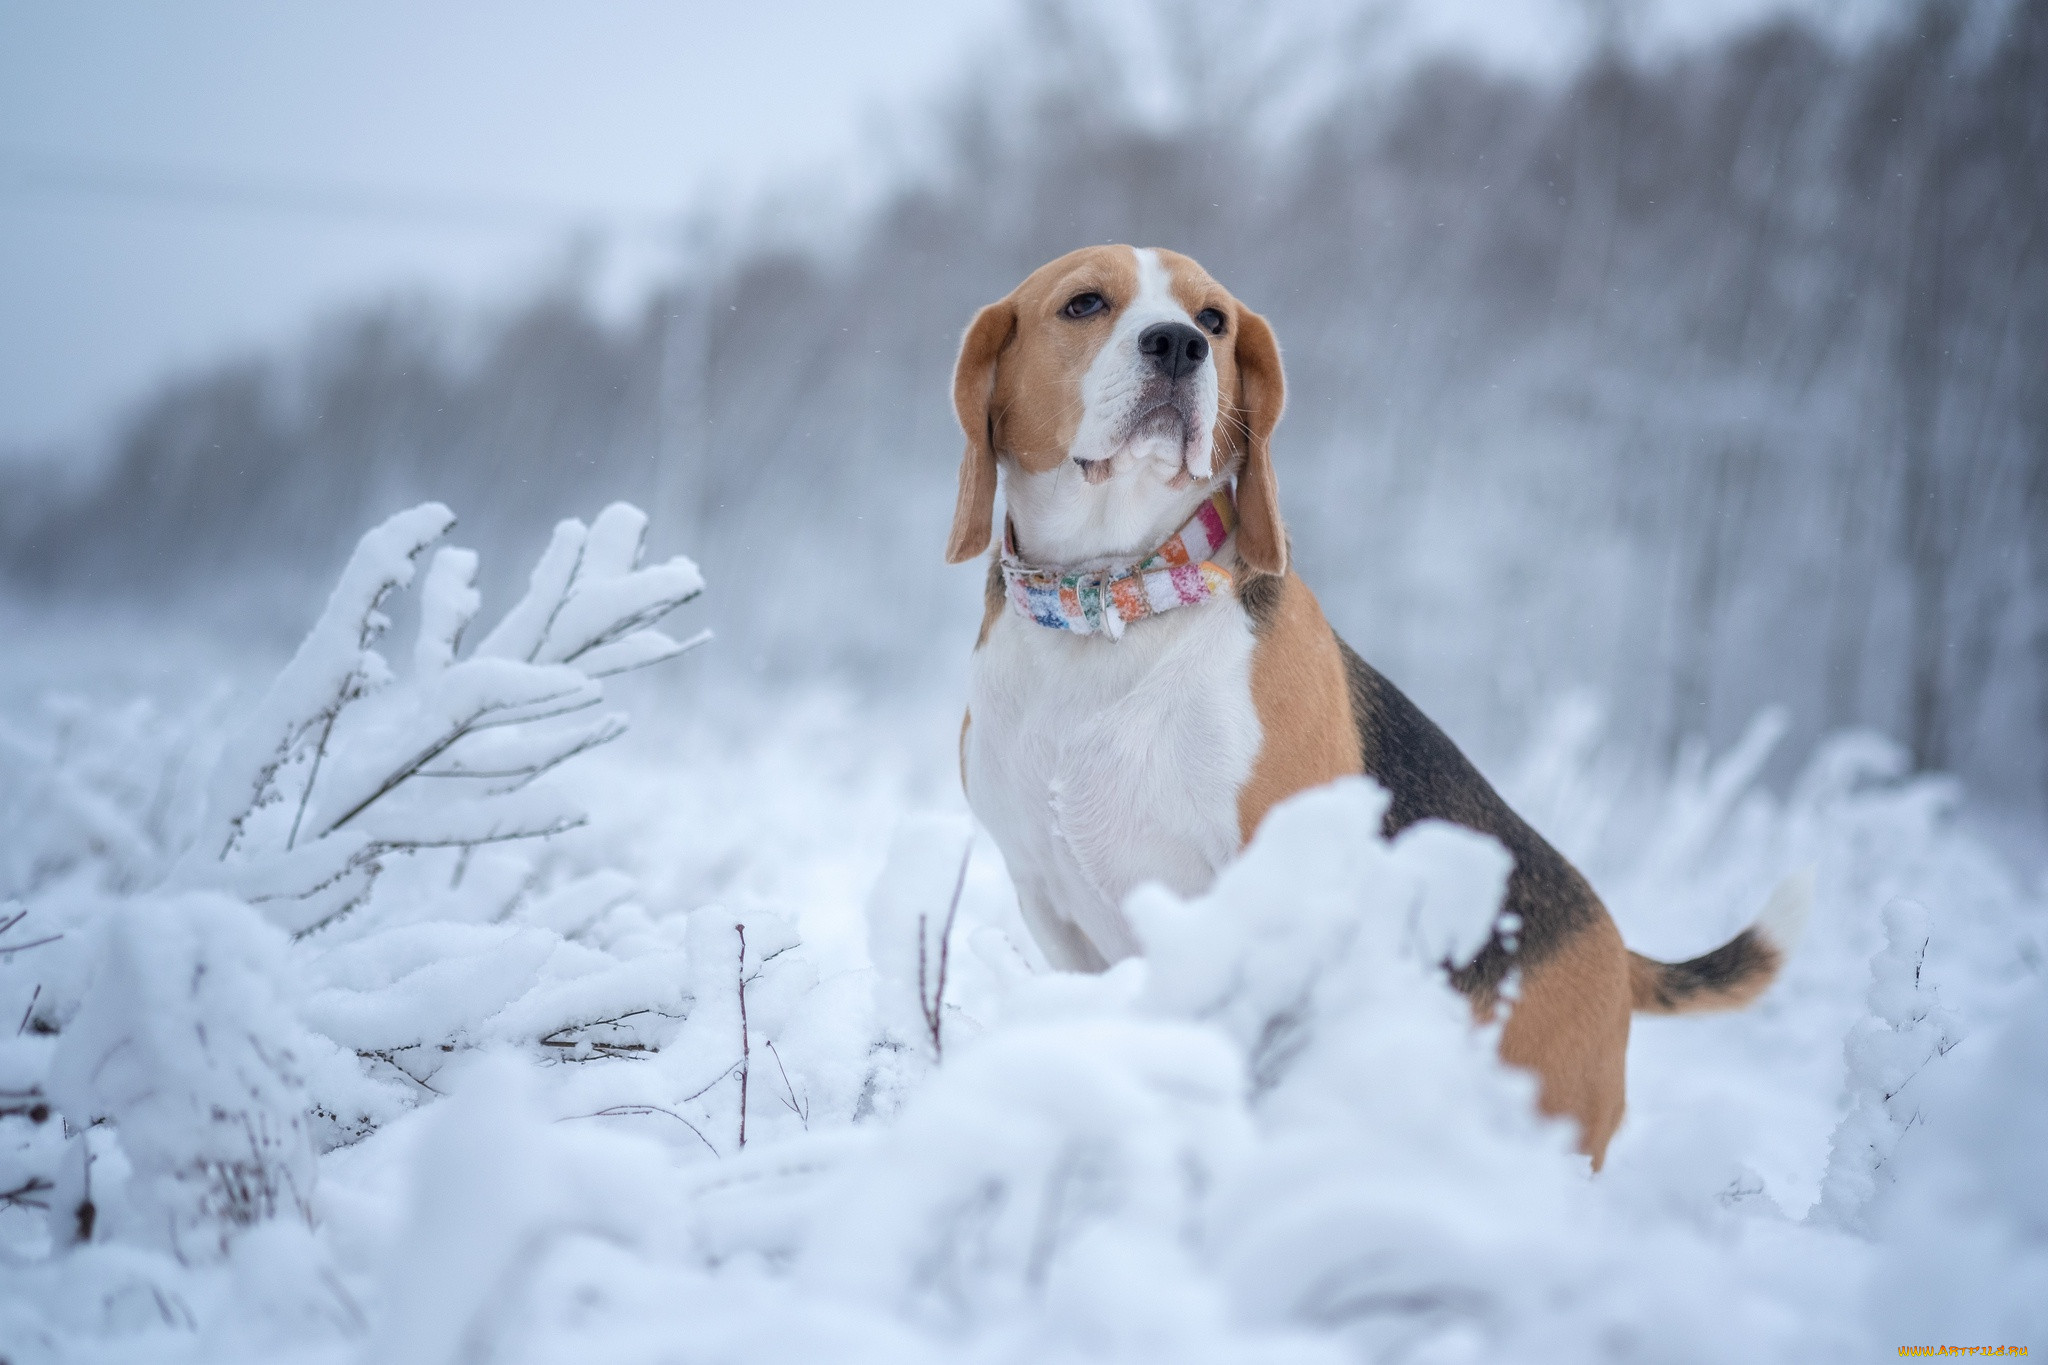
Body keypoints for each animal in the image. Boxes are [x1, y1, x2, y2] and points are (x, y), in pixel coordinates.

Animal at [950, 242, 1802, 1162]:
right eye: (1083, 304)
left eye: (1215, 320)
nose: (1179, 345)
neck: (1112, 603)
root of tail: (1614, 941)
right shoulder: (1049, 897)